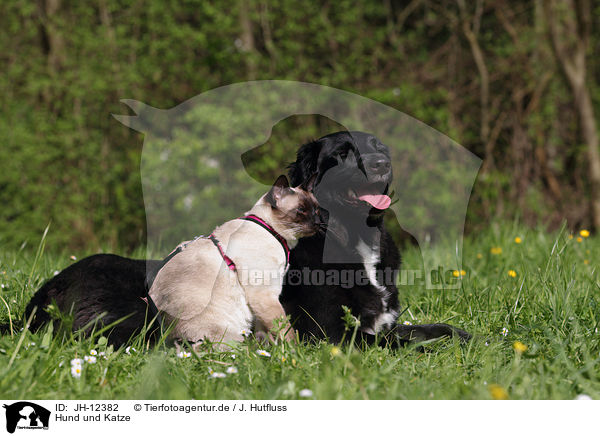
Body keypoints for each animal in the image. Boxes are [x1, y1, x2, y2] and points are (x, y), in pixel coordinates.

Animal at [148, 175, 322, 350]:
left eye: (316, 210)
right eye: (301, 210)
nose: (317, 223)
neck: (271, 230)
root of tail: (171, 342)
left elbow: (265, 333)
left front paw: (269, 350)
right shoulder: (265, 295)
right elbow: (286, 331)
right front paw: (295, 351)